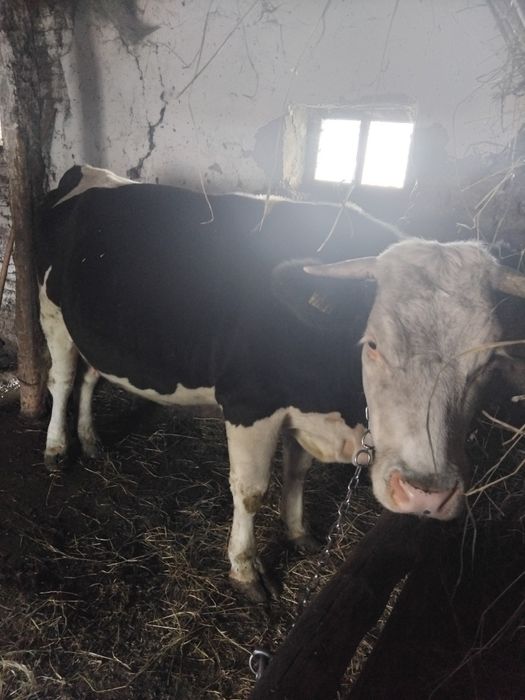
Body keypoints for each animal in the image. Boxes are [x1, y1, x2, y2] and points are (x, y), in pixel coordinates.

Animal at [36, 164, 525, 602]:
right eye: (372, 344)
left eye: (489, 360)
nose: (427, 494)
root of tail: (90, 172)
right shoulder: (249, 403)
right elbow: (251, 491)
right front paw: (245, 569)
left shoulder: (303, 411)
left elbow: (297, 472)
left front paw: (297, 532)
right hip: (52, 310)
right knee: (62, 378)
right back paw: (58, 447)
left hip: (97, 332)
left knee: (90, 378)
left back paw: (91, 439)